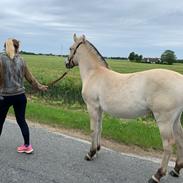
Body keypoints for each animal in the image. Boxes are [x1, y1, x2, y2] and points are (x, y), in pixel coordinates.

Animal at [65, 33, 183, 182]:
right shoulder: (100, 109)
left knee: (168, 145)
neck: (94, 73)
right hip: (175, 119)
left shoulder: (92, 107)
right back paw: (176, 169)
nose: (66, 63)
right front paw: (97, 149)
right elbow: (99, 128)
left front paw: (90, 154)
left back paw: (157, 175)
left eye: (70, 48)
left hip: (164, 120)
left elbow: (93, 130)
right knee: (179, 138)